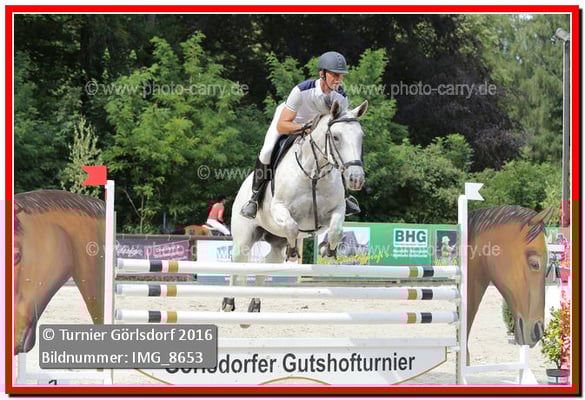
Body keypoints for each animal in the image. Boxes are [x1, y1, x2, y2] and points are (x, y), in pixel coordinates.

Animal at [227, 100, 368, 312]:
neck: (314, 173)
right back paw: (228, 302)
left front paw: (329, 252)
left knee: (264, 266)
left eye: (361, 137)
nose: (356, 179)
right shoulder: (279, 208)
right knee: (236, 264)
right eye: (336, 137)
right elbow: (292, 226)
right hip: (244, 238)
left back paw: (255, 304)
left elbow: (336, 230)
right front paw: (294, 252)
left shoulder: (336, 210)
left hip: (276, 241)